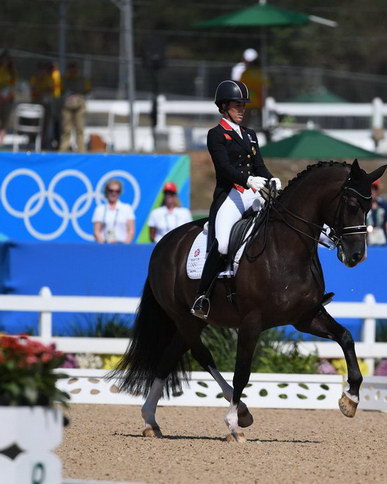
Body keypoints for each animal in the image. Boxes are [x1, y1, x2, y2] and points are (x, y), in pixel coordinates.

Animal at [110, 160, 386, 442]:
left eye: (369, 207)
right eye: (351, 204)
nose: (357, 256)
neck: (285, 247)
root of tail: (164, 243)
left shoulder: (306, 317)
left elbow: (346, 338)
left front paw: (350, 399)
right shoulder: (251, 322)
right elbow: (242, 371)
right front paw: (232, 425)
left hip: (193, 320)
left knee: (168, 357)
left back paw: (151, 421)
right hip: (183, 316)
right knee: (201, 353)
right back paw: (238, 411)